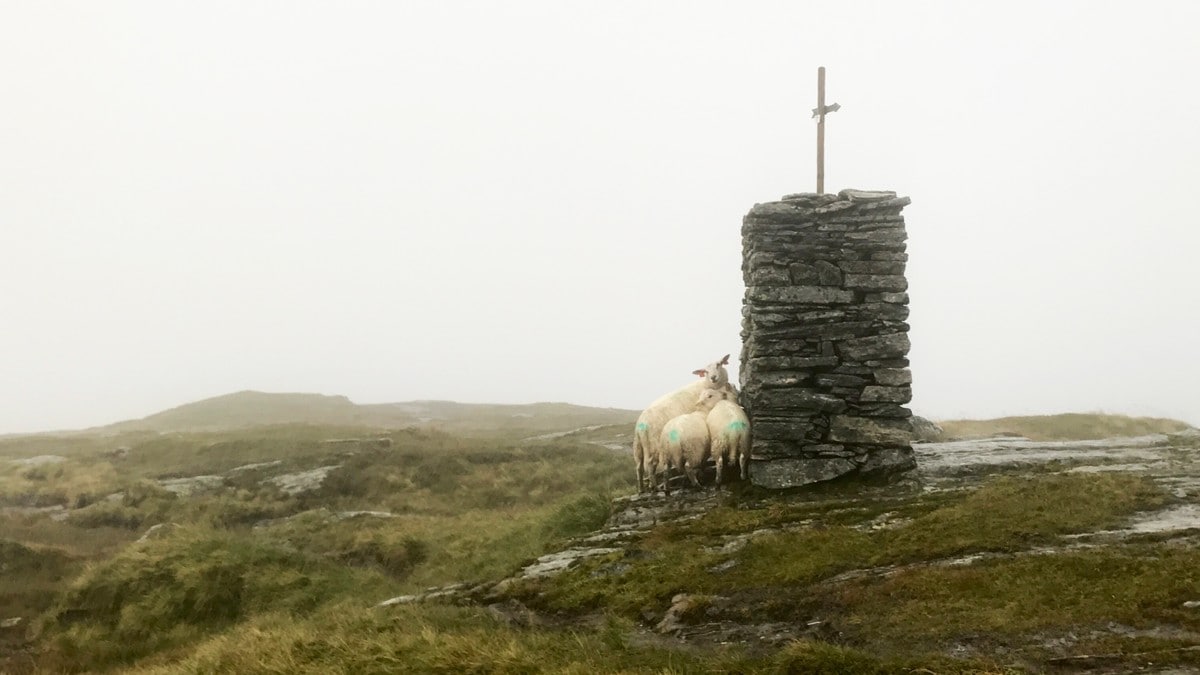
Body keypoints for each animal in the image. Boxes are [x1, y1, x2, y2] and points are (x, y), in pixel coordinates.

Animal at [633, 355, 734, 492]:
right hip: (653, 444)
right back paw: (655, 487)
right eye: (705, 371)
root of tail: (640, 425)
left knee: (639, 466)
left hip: (638, 446)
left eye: (719, 364)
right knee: (650, 463)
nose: (713, 377)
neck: (706, 384)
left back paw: (642, 489)